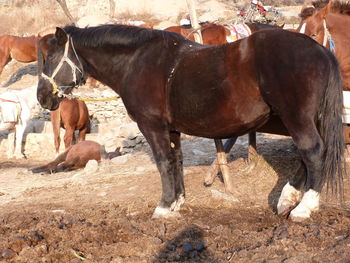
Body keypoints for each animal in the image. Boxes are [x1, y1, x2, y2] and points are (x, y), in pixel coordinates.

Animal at [37, 25, 344, 223]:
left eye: (51, 57)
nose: (42, 96)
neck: (138, 61)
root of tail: (319, 49)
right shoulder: (172, 129)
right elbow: (176, 161)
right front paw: (177, 202)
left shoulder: (152, 126)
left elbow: (163, 162)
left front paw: (163, 207)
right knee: (309, 155)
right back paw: (288, 199)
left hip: (297, 118)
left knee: (313, 152)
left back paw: (304, 207)